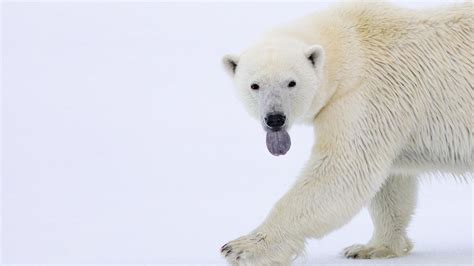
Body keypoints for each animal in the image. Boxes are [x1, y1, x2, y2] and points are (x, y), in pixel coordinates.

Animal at [220, 2, 472, 266]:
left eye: (291, 82)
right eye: (255, 85)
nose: (275, 119)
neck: (350, 47)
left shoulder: (364, 95)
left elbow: (342, 170)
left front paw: (242, 248)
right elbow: (390, 183)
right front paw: (373, 247)